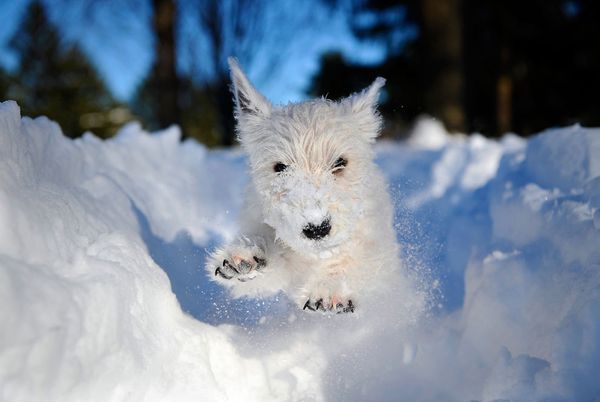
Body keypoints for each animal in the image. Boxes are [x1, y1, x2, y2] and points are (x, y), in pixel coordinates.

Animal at [207, 57, 404, 314]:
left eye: (340, 163)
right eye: (280, 166)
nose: (317, 228)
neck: (315, 256)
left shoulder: (378, 255)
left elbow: (355, 260)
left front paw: (330, 290)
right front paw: (245, 259)